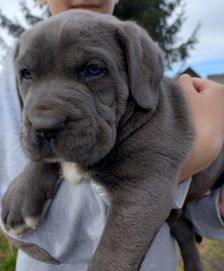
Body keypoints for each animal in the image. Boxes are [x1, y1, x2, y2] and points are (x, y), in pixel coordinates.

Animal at [2, 9, 224, 270]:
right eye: (26, 74)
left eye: (93, 70)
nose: (45, 126)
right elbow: (46, 160)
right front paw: (19, 197)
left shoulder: (142, 188)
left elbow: (112, 253)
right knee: (186, 235)